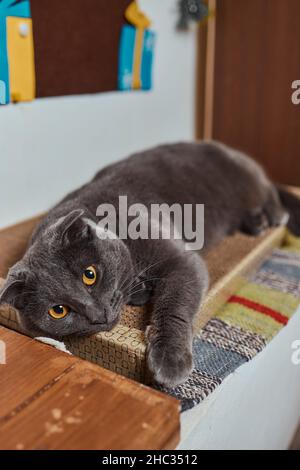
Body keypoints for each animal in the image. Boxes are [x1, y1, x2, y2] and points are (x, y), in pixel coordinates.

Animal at [0, 142, 300, 386]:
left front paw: (170, 359)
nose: (97, 314)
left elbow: (174, 305)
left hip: (251, 184)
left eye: (90, 274)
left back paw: (268, 217)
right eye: (58, 311)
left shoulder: (181, 260)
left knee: (274, 197)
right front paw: (141, 291)